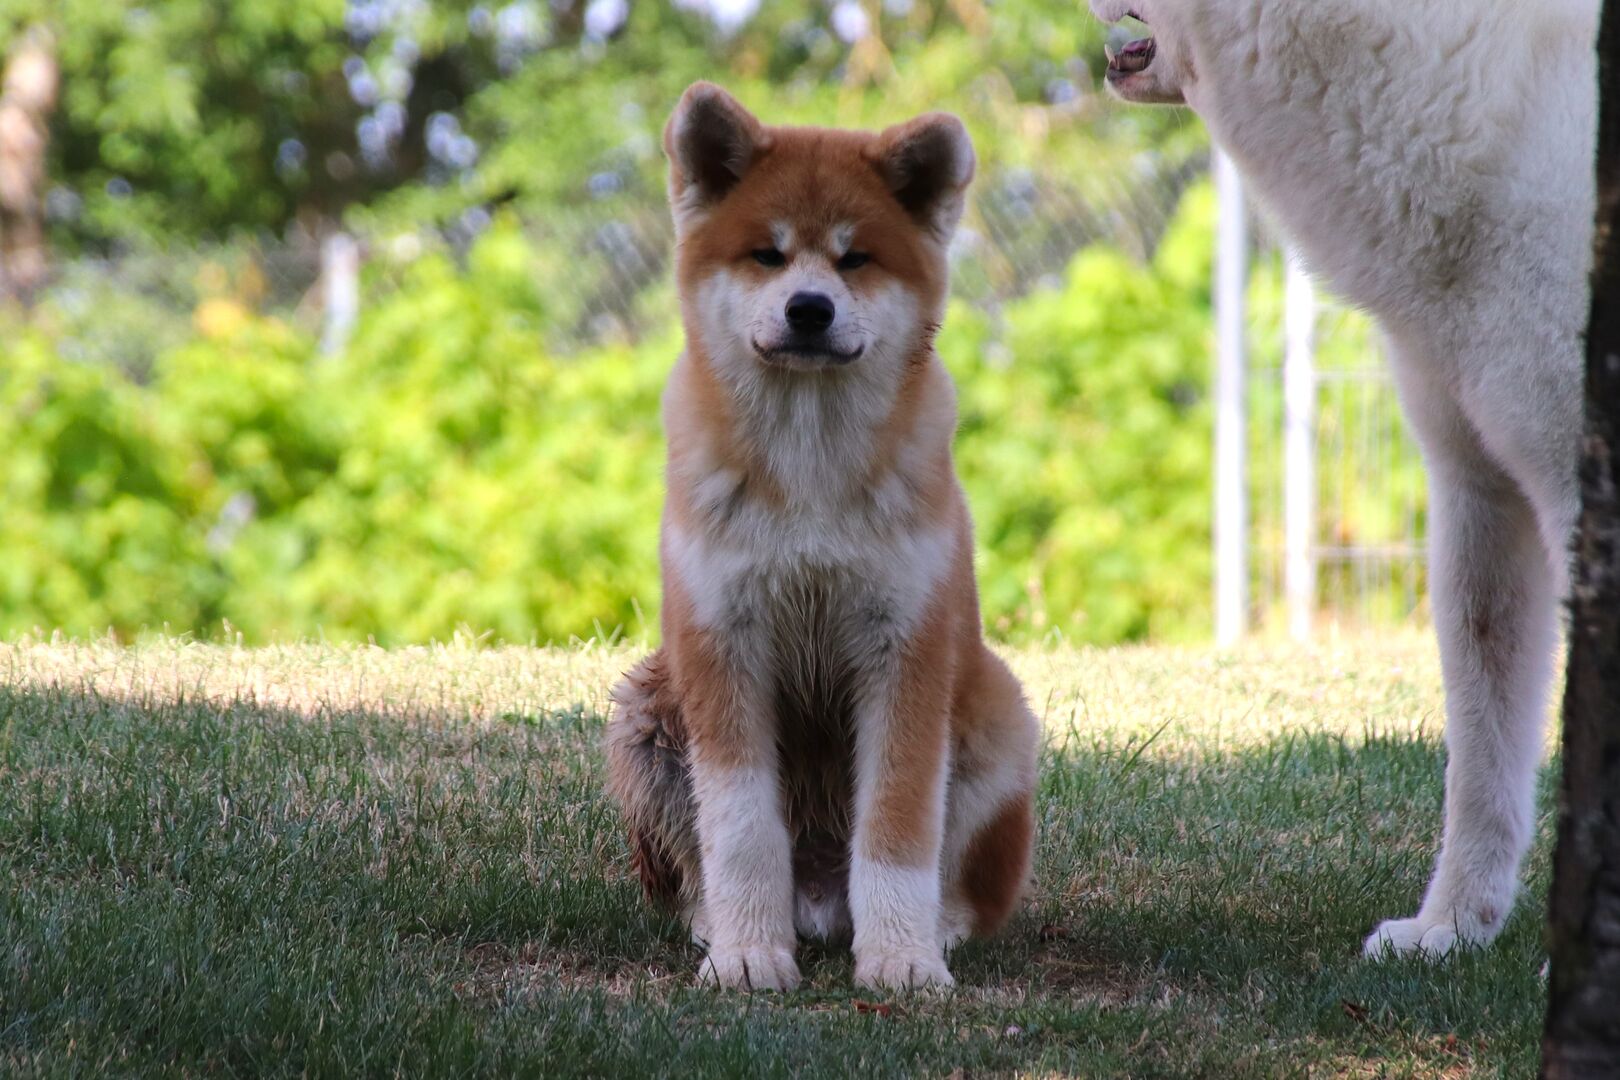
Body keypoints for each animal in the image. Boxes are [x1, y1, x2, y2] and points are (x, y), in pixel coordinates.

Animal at [604, 84, 1041, 991]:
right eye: (767, 256)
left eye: (856, 259)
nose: (810, 308)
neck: (809, 473)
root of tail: (819, 900)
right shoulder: (723, 645)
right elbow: (739, 831)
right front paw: (746, 953)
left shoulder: (904, 650)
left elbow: (898, 829)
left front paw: (903, 960)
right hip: (646, 713)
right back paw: (716, 925)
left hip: (999, 715)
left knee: (968, 887)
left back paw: (939, 927)